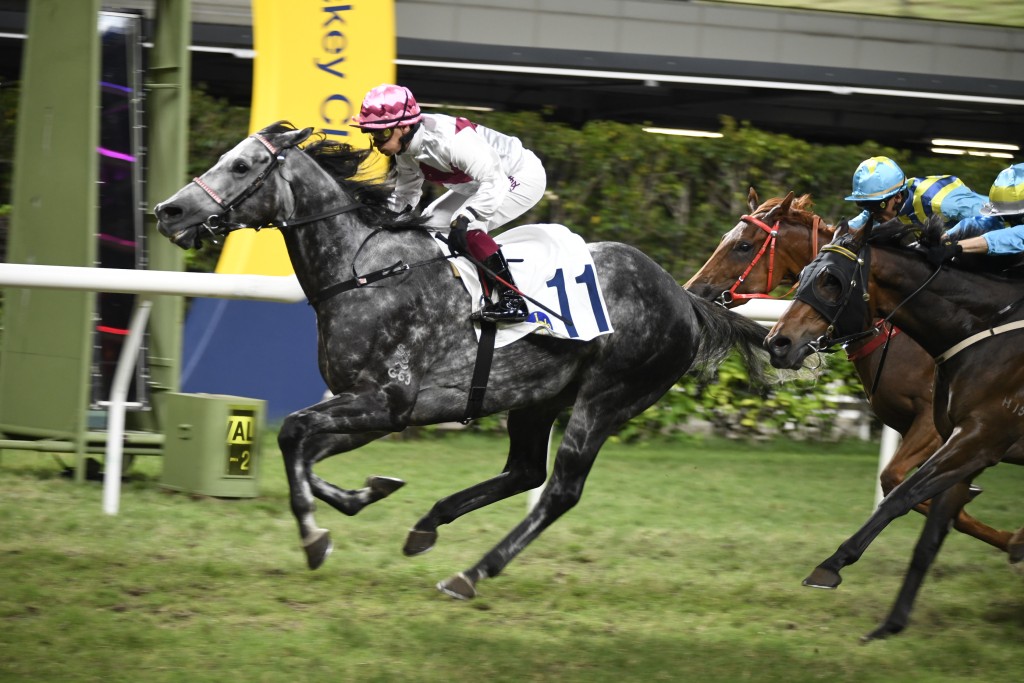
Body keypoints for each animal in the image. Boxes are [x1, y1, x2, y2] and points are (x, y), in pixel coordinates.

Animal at [153, 121, 774, 598]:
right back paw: (429, 524)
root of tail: (684, 298)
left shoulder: (387, 399)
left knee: (560, 490)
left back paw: (471, 573)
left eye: (241, 166)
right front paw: (367, 492)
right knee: (526, 471)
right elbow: (303, 450)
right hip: (538, 398)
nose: (167, 211)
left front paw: (314, 538)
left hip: (606, 398)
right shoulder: (379, 409)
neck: (364, 271)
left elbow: (292, 436)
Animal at [684, 187, 1019, 557]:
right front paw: (1007, 534)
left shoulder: (936, 425)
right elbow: (924, 495)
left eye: (743, 246)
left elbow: (895, 481)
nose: (692, 290)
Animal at [761, 218, 1024, 643]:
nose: (777, 343)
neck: (983, 327)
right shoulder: (966, 443)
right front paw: (891, 622)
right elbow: (931, 532)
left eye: (831, 281)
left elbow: (900, 493)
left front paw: (832, 564)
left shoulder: (973, 435)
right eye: (801, 277)